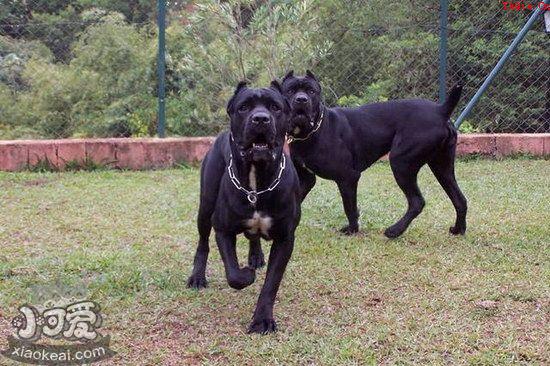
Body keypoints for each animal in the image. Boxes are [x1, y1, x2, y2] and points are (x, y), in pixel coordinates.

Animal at [189, 81, 302, 334]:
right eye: (243, 107)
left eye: (275, 107)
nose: (260, 119)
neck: (256, 183)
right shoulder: (223, 229)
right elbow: (233, 273)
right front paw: (246, 275)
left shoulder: (285, 238)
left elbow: (271, 283)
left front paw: (262, 320)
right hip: (205, 206)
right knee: (203, 243)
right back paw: (197, 277)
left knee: (253, 236)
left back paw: (256, 256)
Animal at [282, 70, 468, 239]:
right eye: (290, 91)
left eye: (311, 91)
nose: (301, 99)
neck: (312, 131)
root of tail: (440, 111)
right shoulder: (306, 178)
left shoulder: (347, 177)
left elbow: (350, 207)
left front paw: (352, 230)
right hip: (442, 167)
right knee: (460, 199)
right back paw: (458, 230)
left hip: (401, 162)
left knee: (417, 201)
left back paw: (394, 231)